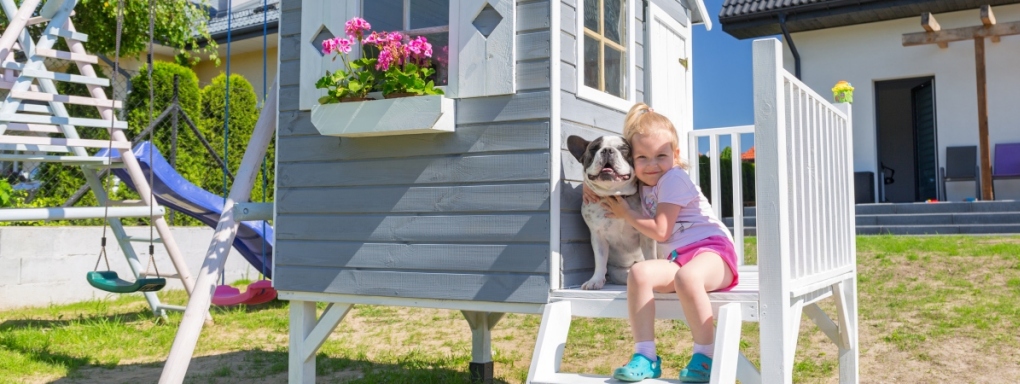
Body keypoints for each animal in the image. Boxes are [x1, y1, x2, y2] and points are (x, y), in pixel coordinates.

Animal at [567, 134, 652, 288]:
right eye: (594, 149)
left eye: (623, 148)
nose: (607, 150)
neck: (615, 195)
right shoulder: (598, 235)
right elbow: (600, 260)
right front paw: (595, 280)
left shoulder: (646, 236)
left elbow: (651, 256)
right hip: (618, 273)